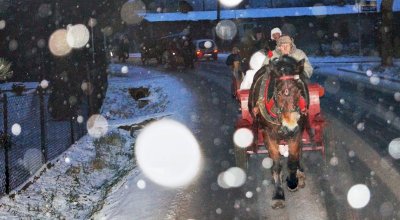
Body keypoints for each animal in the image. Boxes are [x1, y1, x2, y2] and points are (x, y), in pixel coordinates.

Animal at [250, 54, 310, 208]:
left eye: (299, 91)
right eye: (277, 92)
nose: (289, 127)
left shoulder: (297, 132)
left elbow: (293, 160)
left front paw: (293, 181)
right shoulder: (268, 134)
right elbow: (276, 165)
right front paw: (278, 194)